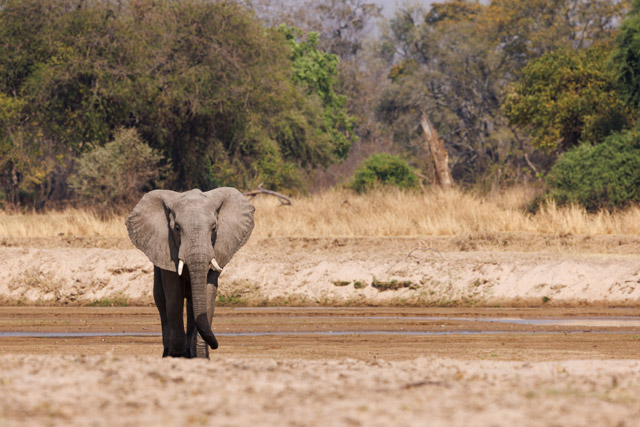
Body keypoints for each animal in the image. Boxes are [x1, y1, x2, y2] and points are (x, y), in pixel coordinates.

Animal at [126, 188, 254, 358]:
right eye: (177, 228)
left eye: (214, 228)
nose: (216, 346)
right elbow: (174, 295)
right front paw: (177, 356)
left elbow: (208, 292)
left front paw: (200, 356)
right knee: (160, 299)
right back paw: (168, 352)